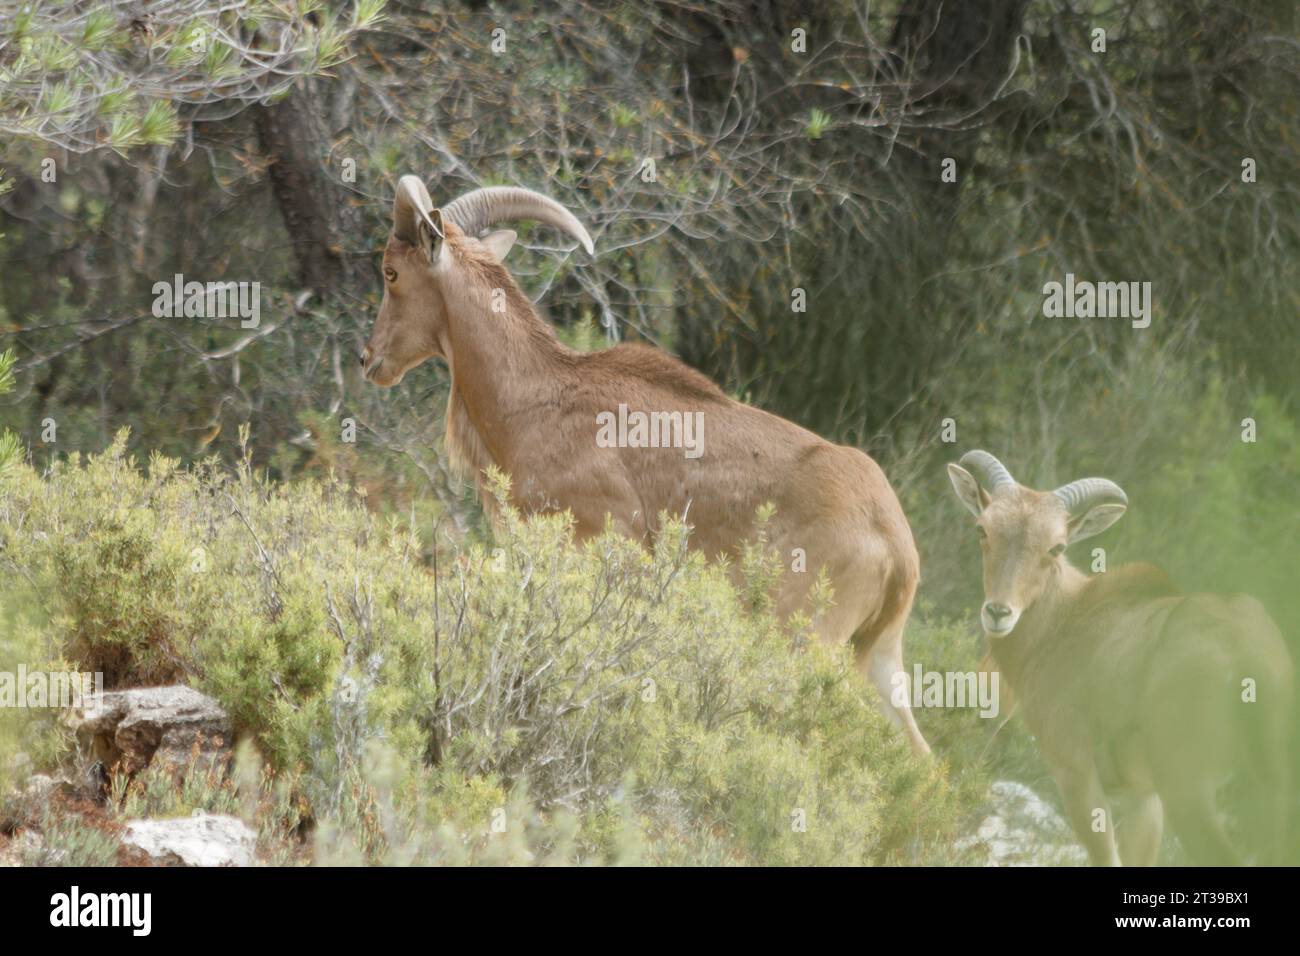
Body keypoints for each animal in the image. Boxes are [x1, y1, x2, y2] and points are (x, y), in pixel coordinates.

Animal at [361, 174, 929, 754]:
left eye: (391, 271)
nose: (369, 359)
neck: (537, 398)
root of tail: (895, 545)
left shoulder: (604, 545)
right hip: (878, 655)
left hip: (802, 637)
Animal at [948, 449, 1293, 864]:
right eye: (983, 529)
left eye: (1056, 546)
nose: (999, 612)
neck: (1065, 621)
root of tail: (1250, 661)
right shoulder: (1143, 796)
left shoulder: (1076, 771)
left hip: (1189, 792)